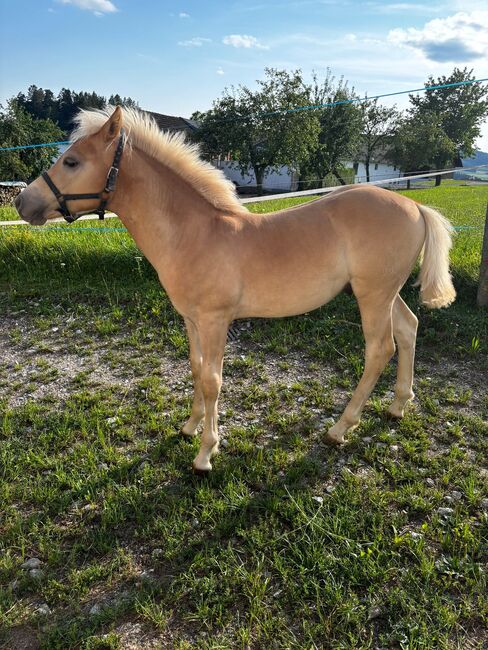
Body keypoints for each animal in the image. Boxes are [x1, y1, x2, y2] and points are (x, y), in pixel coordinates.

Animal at [16, 106, 458, 470]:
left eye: (72, 161)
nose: (22, 203)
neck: (194, 232)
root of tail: (417, 207)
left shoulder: (215, 321)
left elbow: (213, 379)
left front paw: (205, 453)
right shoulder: (192, 319)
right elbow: (196, 369)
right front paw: (189, 427)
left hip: (373, 296)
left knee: (379, 349)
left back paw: (340, 428)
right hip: (386, 293)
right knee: (409, 328)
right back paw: (398, 406)